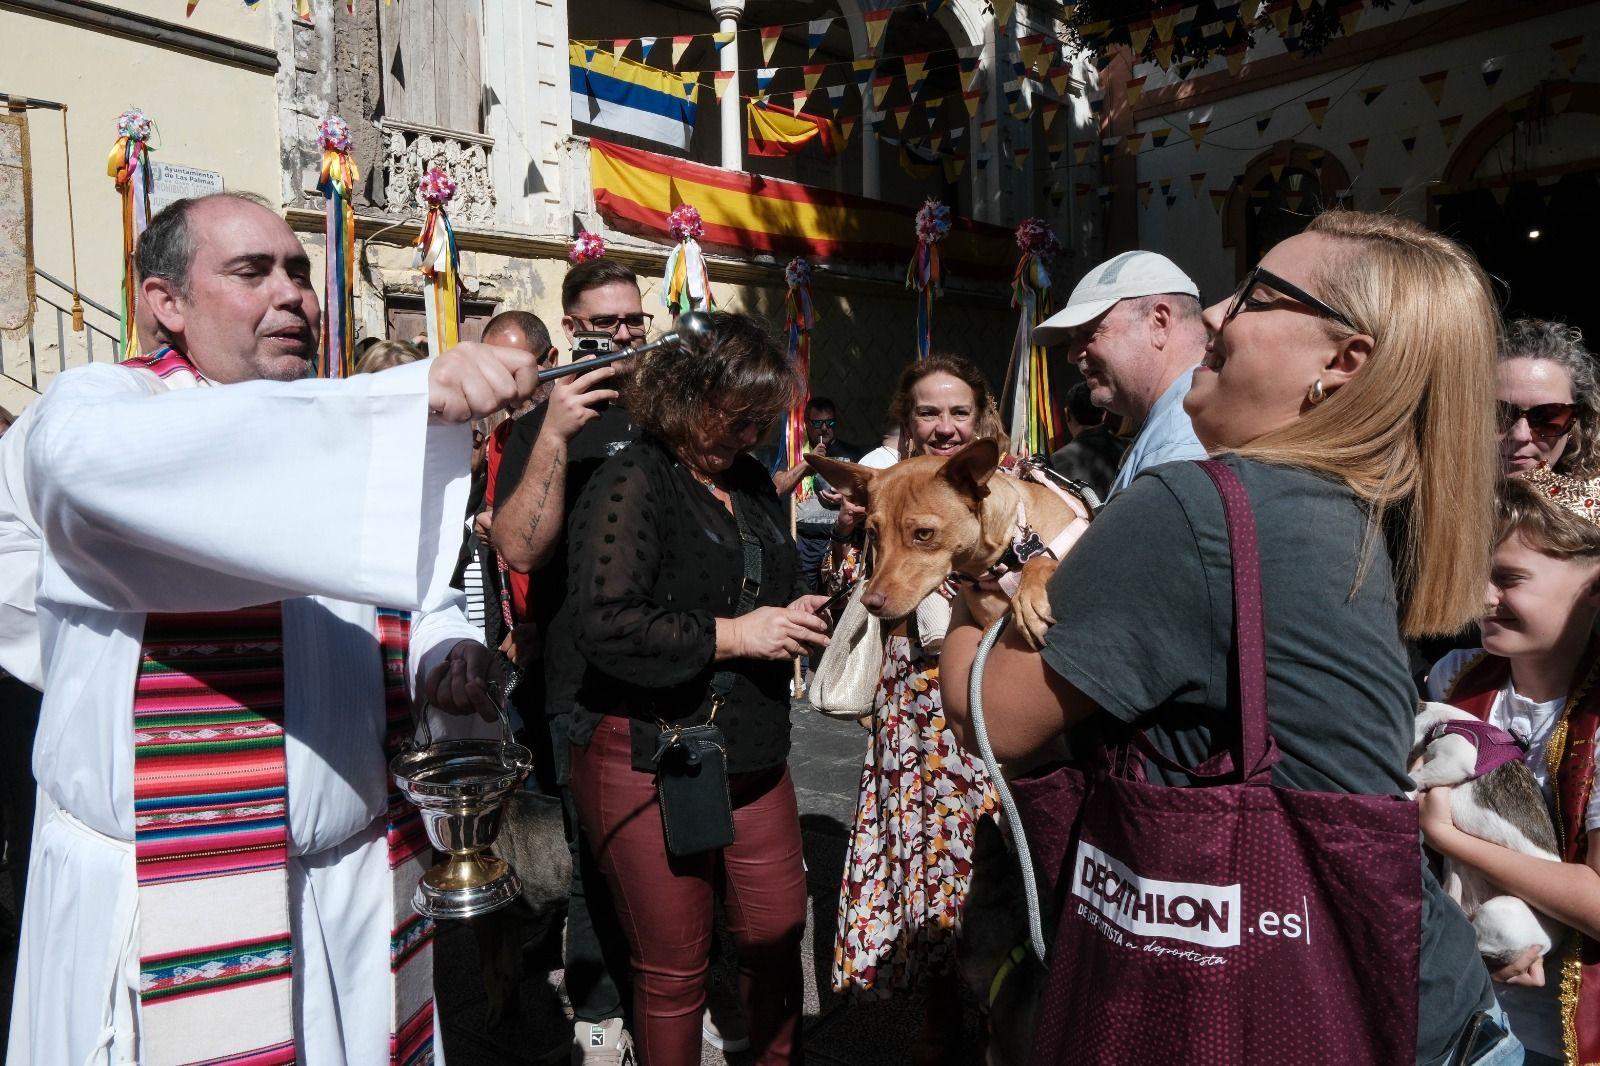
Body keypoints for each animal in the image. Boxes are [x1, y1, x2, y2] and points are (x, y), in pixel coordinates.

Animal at [812, 435, 1088, 643]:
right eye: (872, 533)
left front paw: (1028, 599)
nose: (869, 602)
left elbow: (1041, 560)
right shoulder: (987, 627)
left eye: (924, 534)